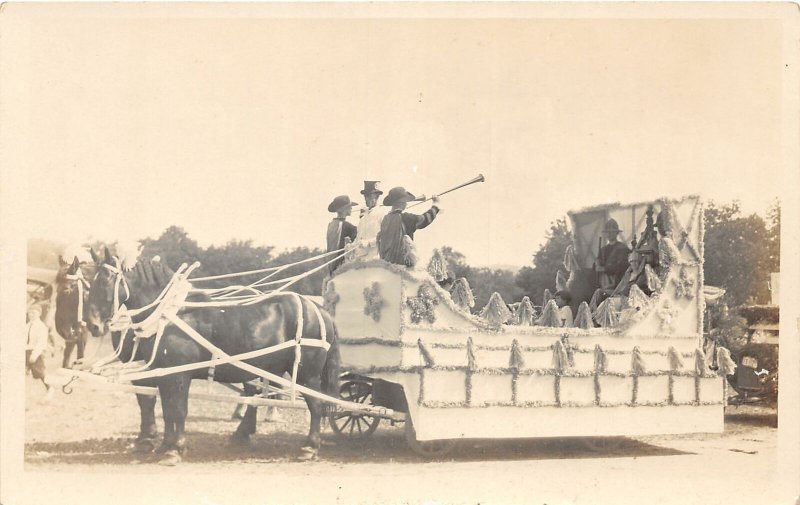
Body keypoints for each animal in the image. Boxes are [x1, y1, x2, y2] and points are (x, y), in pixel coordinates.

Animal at [85, 248, 340, 464]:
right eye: (90, 282)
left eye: (105, 280)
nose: (93, 325)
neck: (168, 316)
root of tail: (319, 309)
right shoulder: (164, 374)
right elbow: (167, 410)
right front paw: (165, 445)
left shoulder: (178, 375)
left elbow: (178, 410)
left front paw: (174, 449)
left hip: (308, 374)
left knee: (316, 405)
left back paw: (309, 447)